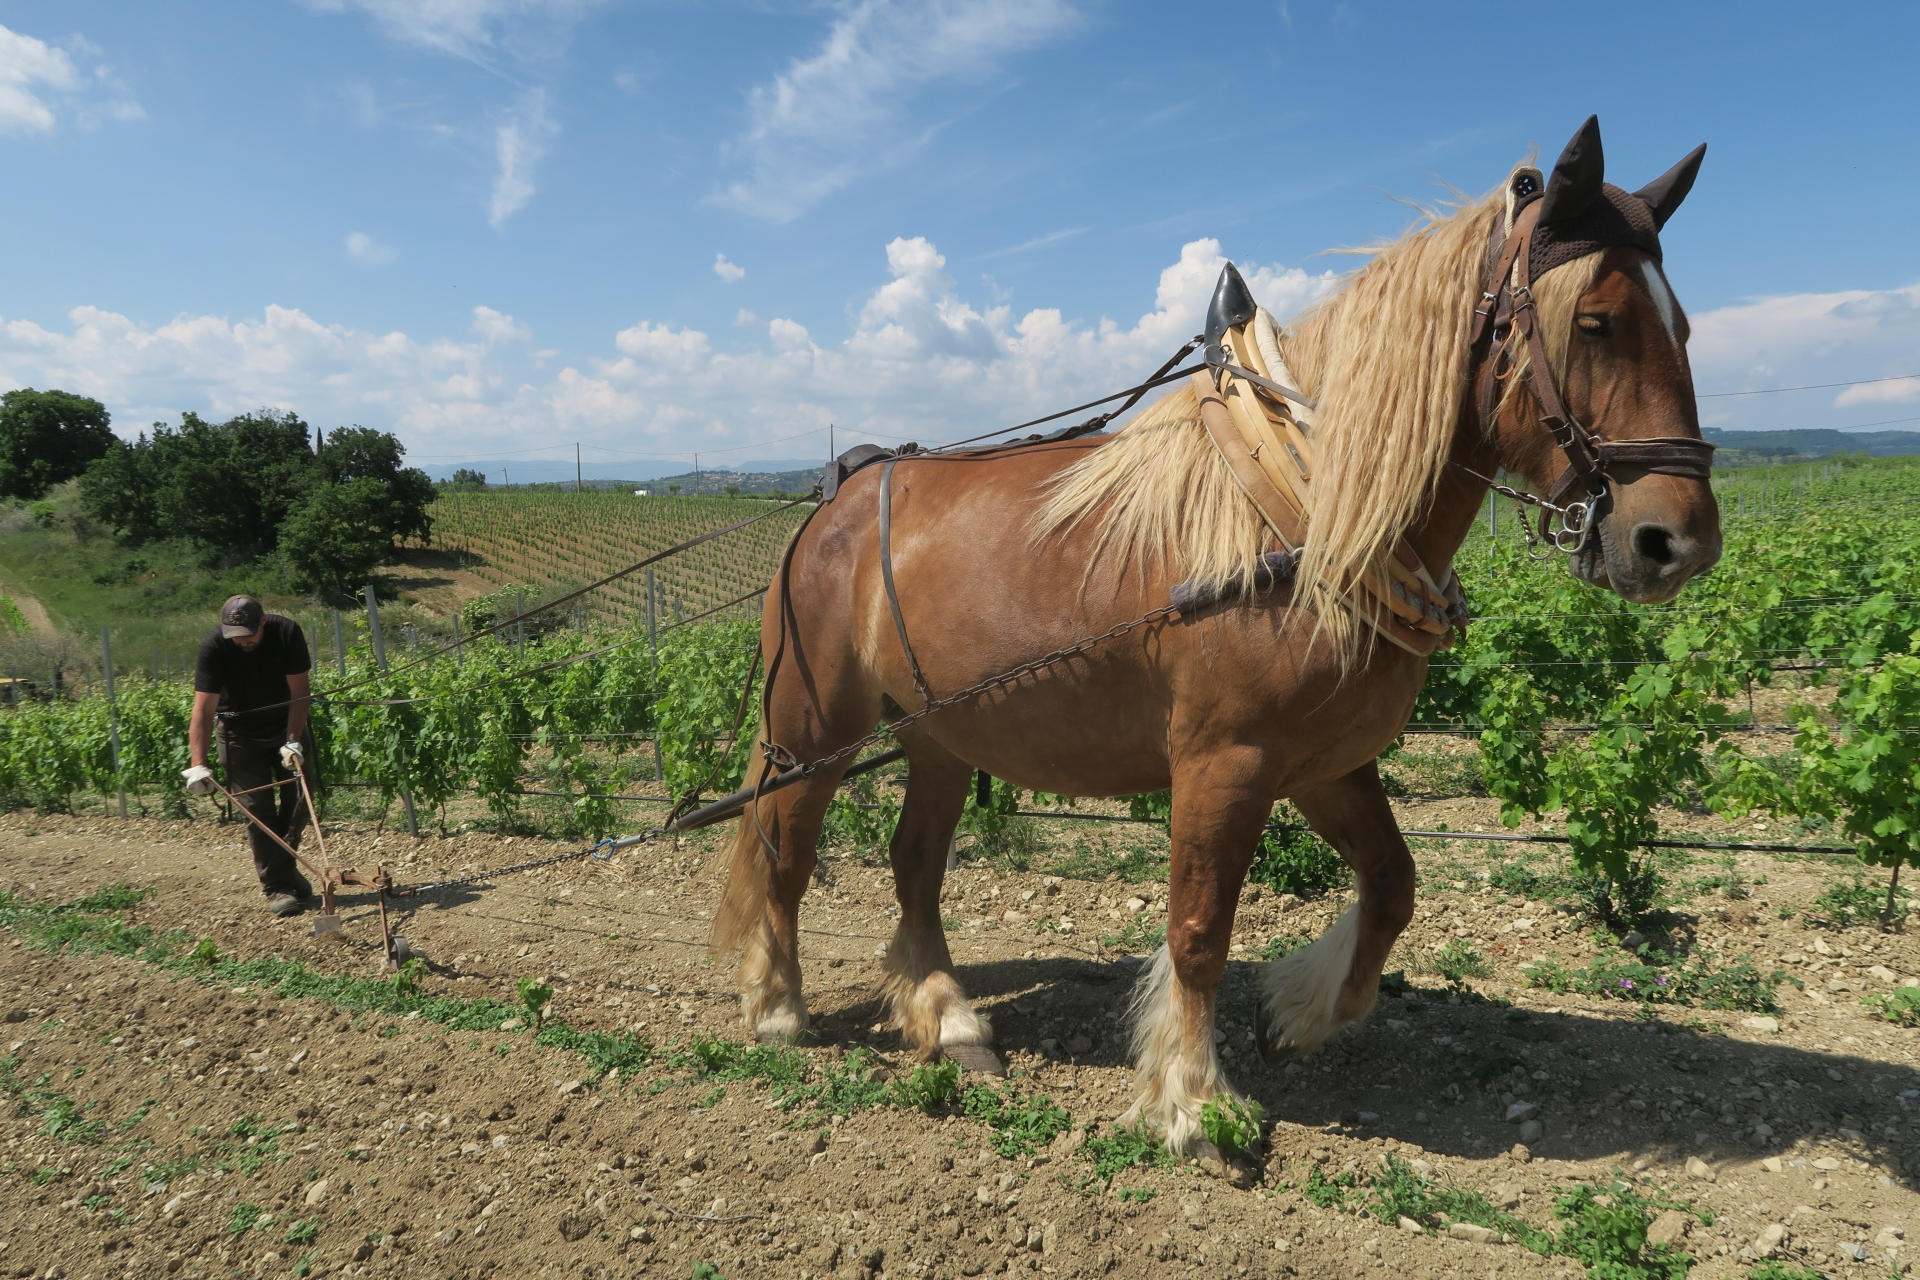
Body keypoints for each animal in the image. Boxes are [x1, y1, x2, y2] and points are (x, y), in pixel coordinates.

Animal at [710, 119, 1728, 1159]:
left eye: (1683, 327)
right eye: (1596, 322)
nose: (1677, 542)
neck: (1310, 520)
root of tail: (832, 500)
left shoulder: (1324, 762)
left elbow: (1393, 884)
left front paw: (1298, 1011)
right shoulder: (1222, 763)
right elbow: (1198, 927)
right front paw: (1193, 1100)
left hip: (941, 736)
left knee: (913, 863)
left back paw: (948, 1019)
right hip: (815, 730)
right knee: (785, 850)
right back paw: (780, 1007)